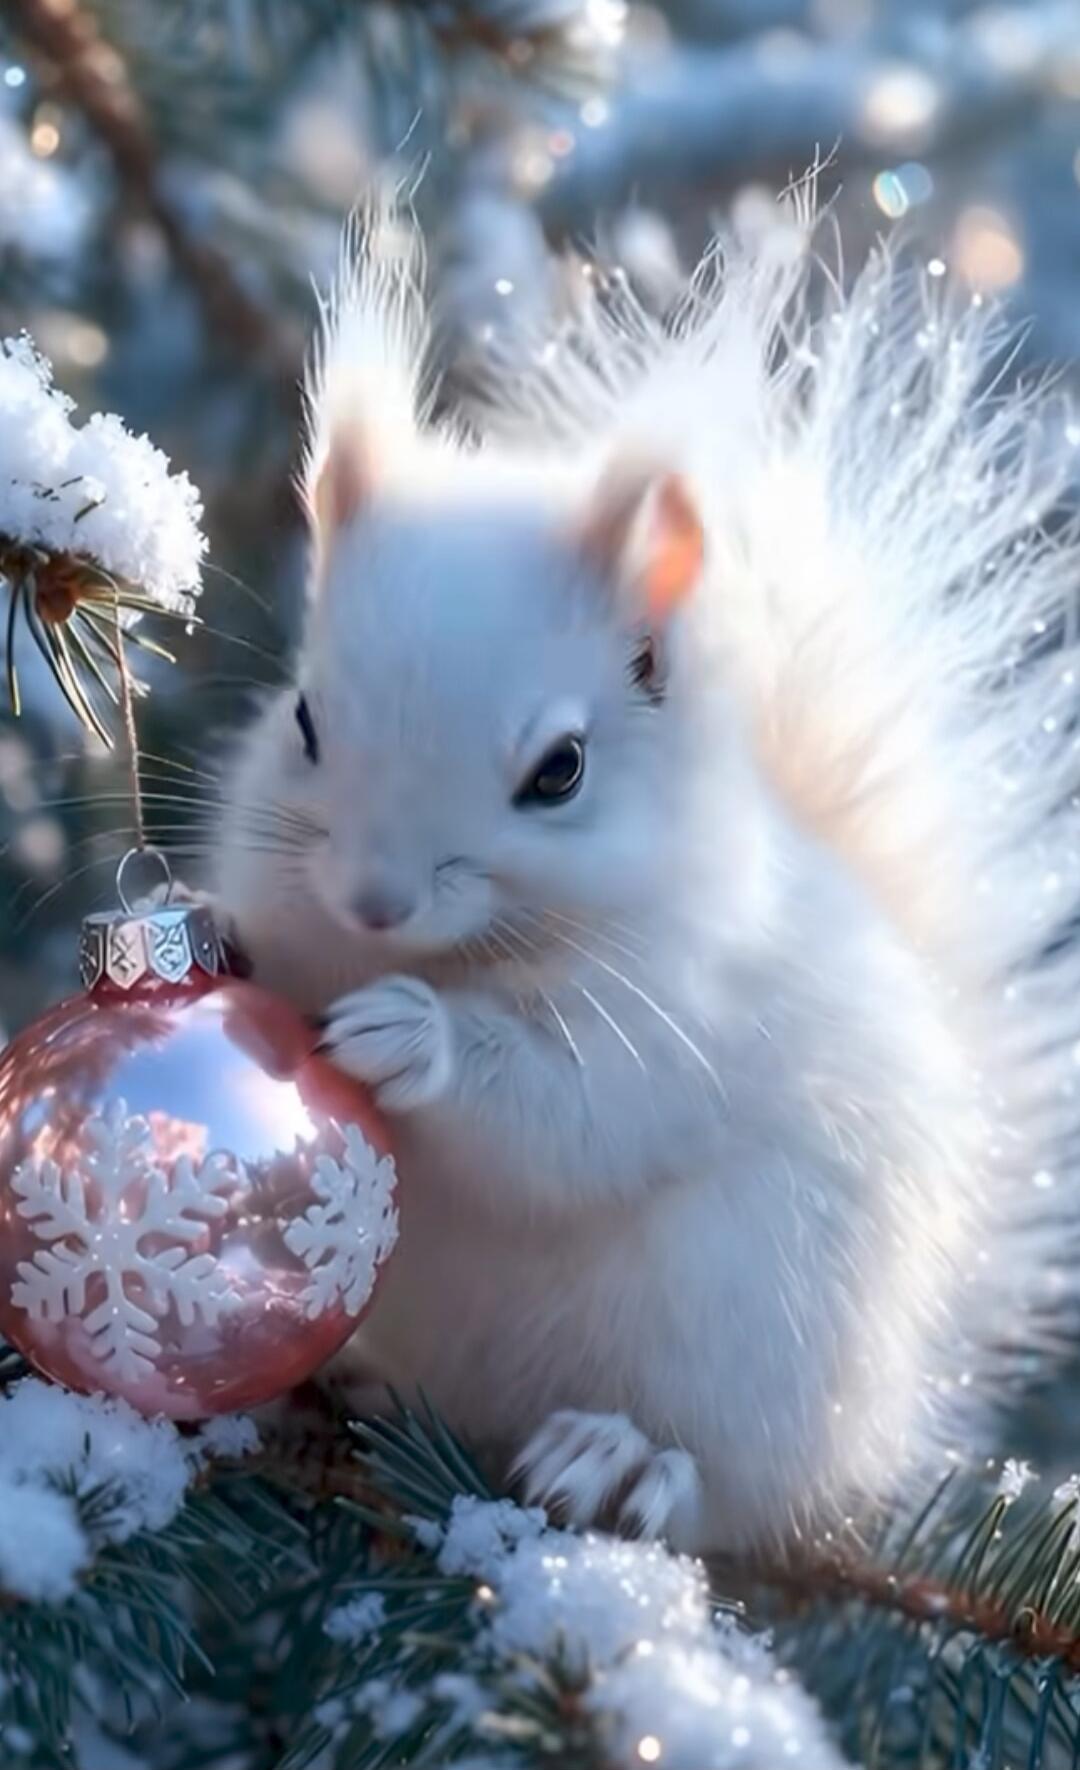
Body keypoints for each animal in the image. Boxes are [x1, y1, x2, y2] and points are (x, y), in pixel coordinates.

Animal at [210, 202, 1080, 1554]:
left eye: (559, 770)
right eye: (302, 718)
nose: (374, 902)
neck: (462, 950)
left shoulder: (684, 1007)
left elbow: (576, 1115)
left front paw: (418, 1039)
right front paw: (198, 932)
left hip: (750, 1332)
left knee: (726, 1492)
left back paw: (618, 1460)